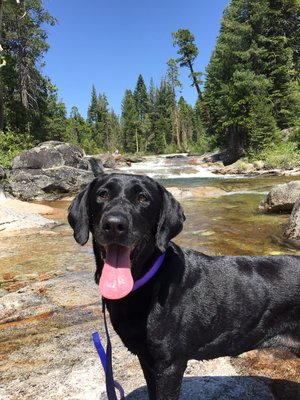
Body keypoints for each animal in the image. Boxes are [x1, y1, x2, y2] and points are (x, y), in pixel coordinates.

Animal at [68, 173, 300, 398]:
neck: (150, 281)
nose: (114, 224)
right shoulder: (147, 360)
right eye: (102, 194)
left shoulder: (170, 366)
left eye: (143, 198)